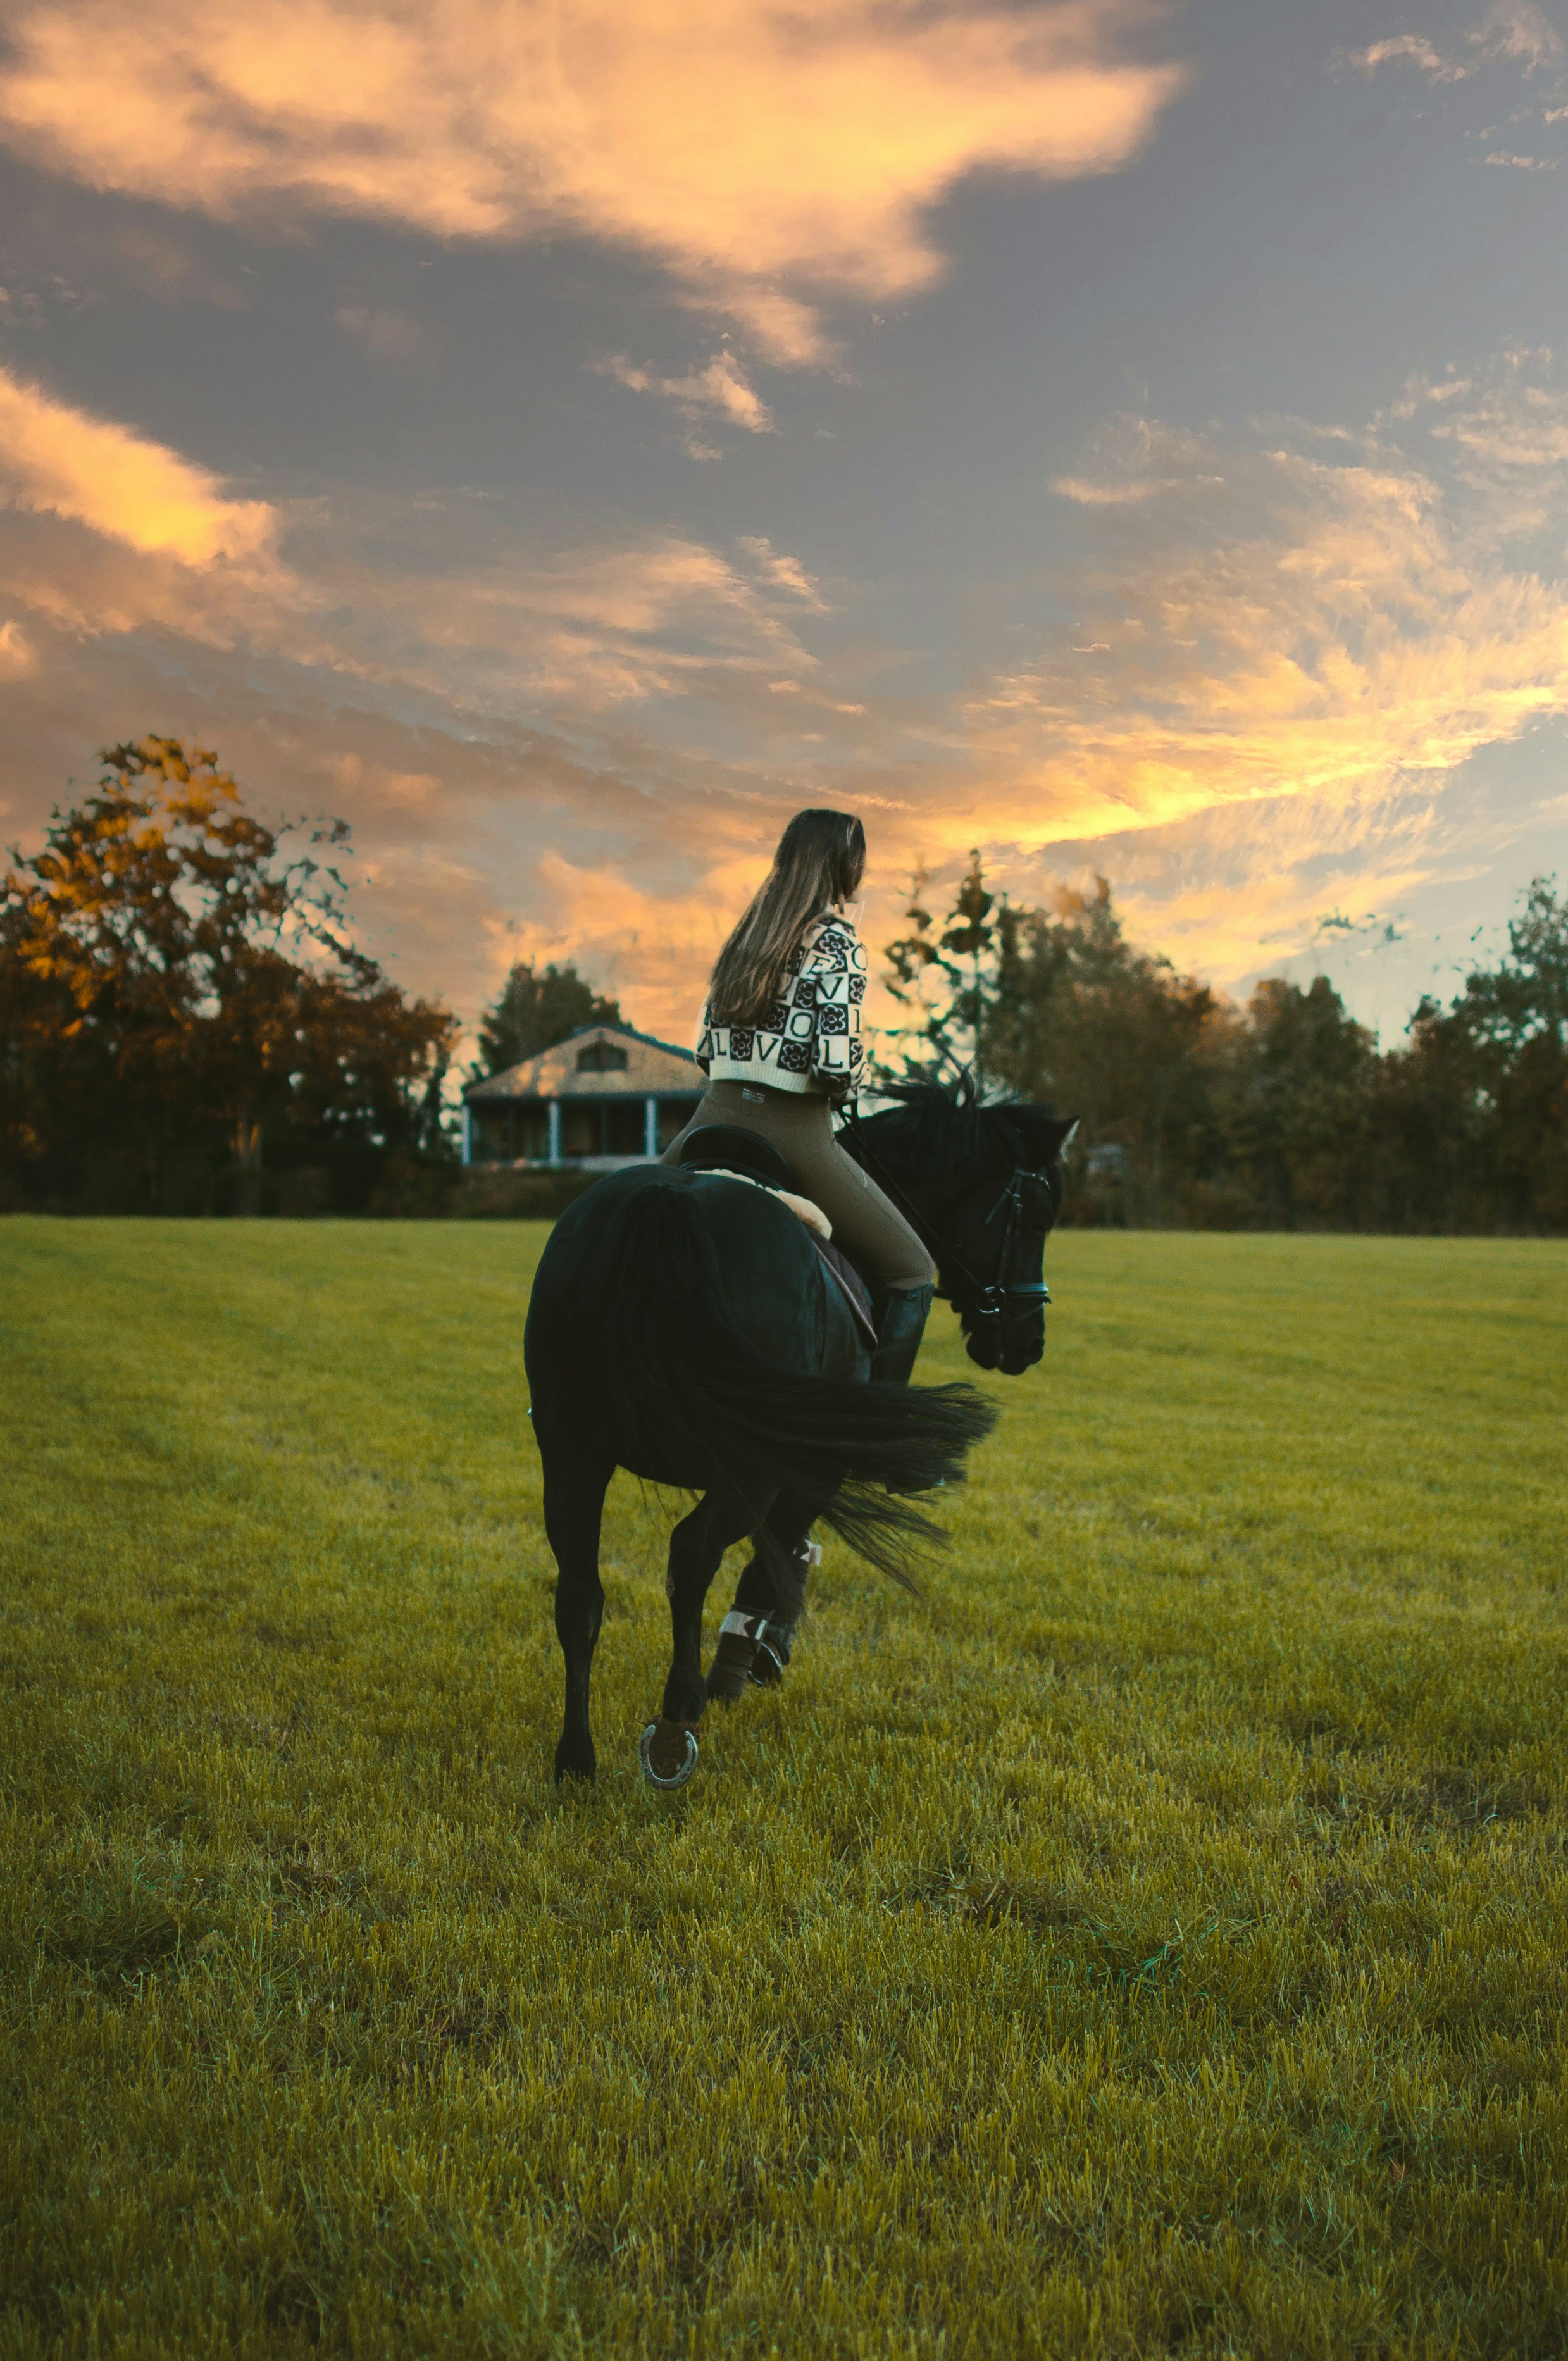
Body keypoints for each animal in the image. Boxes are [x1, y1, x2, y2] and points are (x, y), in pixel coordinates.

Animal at [523, 1079, 1076, 1786]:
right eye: (1036, 1217)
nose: (1028, 1342)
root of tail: (669, 1203)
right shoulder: (812, 1467)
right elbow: (777, 1560)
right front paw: (752, 1657)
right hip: (746, 1465)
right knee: (691, 1552)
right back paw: (676, 1721)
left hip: (573, 1451)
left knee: (579, 1594)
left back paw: (576, 1758)